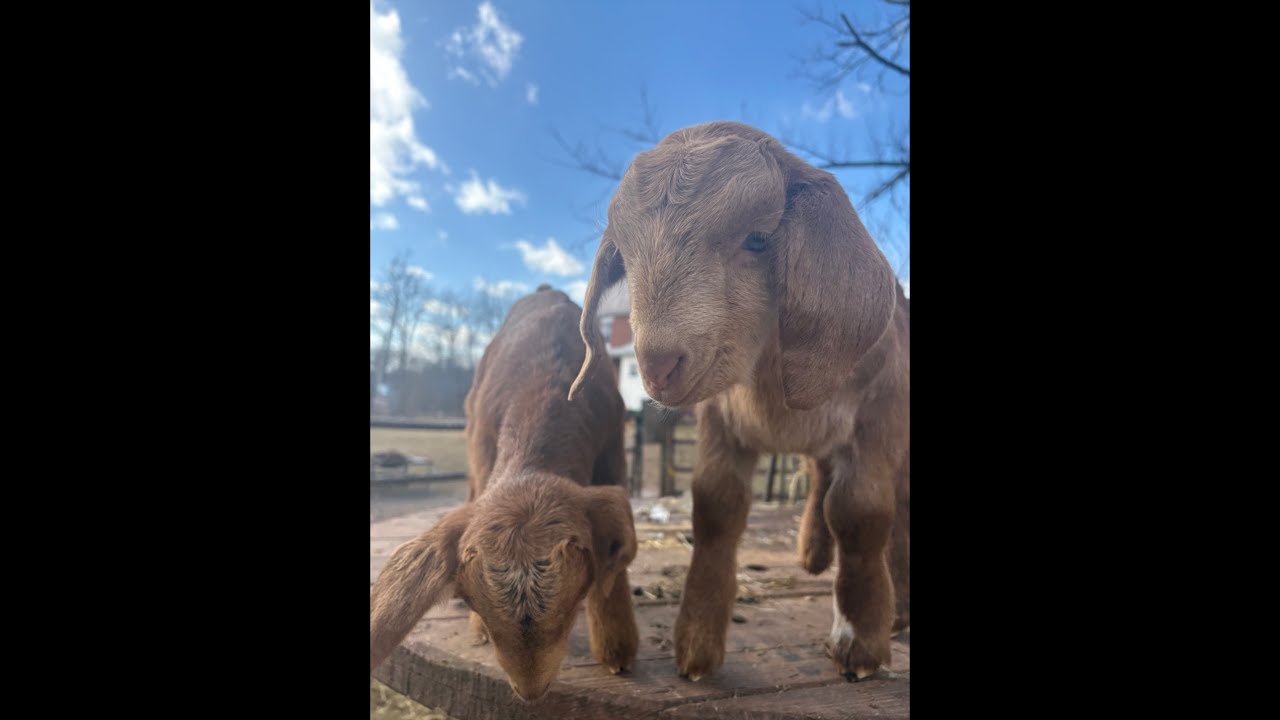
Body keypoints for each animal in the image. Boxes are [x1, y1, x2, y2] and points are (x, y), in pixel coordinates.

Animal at [372, 286, 639, 701]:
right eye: (470, 600)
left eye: (575, 602)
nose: (530, 692)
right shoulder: (482, 438)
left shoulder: (613, 441)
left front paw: (618, 652)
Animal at [571, 121, 909, 682]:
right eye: (625, 253)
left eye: (758, 239)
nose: (658, 364)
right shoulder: (719, 418)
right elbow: (716, 507)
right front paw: (697, 646)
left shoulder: (880, 414)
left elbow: (861, 513)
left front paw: (861, 642)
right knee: (818, 474)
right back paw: (814, 553)